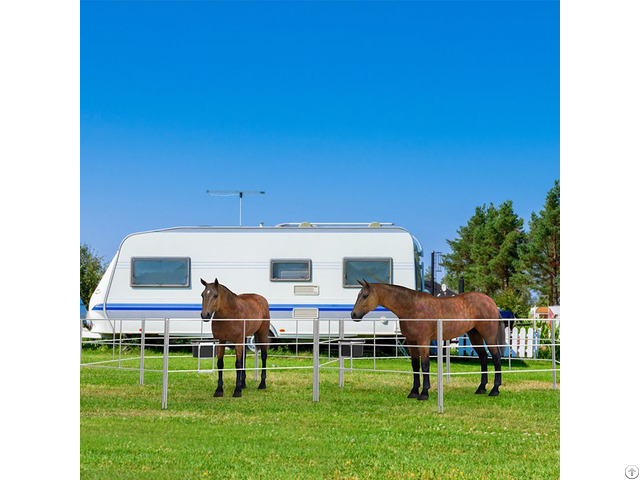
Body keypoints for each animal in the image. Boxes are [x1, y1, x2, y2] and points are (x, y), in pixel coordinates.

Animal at [350, 280, 504, 400]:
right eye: (358, 295)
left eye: (365, 295)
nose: (353, 315)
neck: (411, 307)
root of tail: (491, 302)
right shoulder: (411, 342)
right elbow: (415, 366)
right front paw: (413, 392)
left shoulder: (423, 341)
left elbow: (424, 365)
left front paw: (424, 393)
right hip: (474, 335)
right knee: (483, 357)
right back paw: (481, 388)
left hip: (489, 336)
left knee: (496, 357)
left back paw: (495, 390)